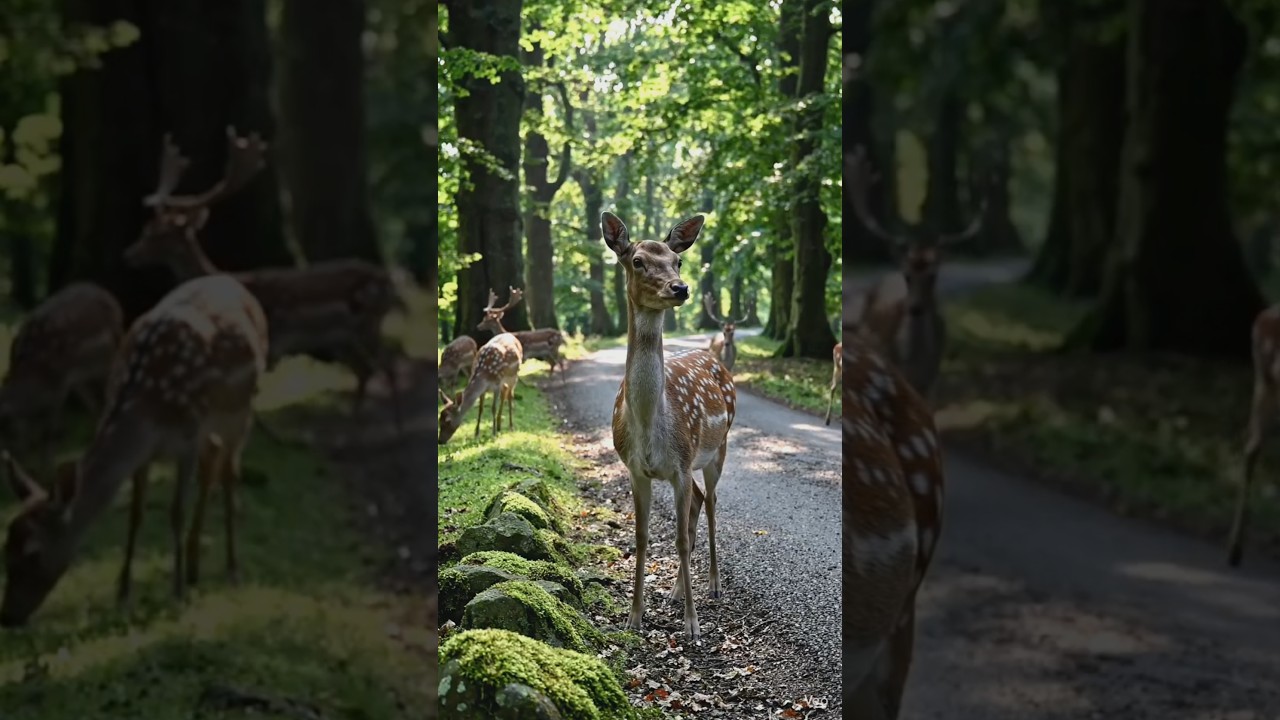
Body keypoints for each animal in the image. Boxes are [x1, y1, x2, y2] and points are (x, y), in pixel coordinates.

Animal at [0, 283, 125, 472]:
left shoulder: (60, 384)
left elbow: (51, 428)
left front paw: (47, 466)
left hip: (109, 359)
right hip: (83, 381)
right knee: (95, 405)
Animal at [123, 127, 406, 432]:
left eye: (161, 234)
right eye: (147, 228)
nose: (129, 255)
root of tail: (390, 279)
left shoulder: (272, 341)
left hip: (369, 322)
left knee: (388, 366)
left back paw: (397, 431)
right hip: (341, 336)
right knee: (364, 370)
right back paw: (352, 433)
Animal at [601, 211, 736, 641]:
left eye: (677, 260)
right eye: (637, 260)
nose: (680, 287)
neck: (649, 425)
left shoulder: (679, 465)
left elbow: (677, 539)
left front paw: (693, 626)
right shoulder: (636, 469)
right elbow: (642, 538)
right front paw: (634, 616)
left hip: (717, 449)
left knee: (711, 503)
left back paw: (713, 585)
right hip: (693, 465)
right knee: (698, 502)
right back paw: (677, 590)